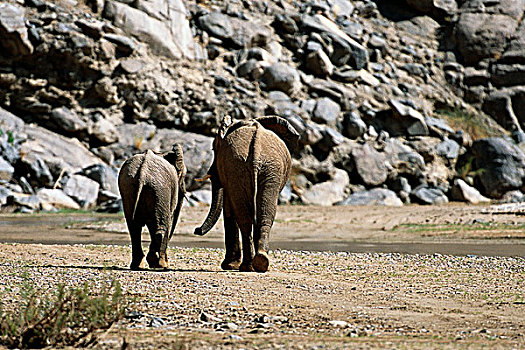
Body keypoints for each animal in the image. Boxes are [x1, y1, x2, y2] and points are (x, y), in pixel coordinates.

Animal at [193, 117, 298, 274]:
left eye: (213, 149)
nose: (196, 230)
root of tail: (256, 149)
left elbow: (229, 209)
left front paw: (229, 266)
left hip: (254, 168)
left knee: (249, 216)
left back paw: (250, 265)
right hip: (256, 168)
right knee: (263, 213)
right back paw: (259, 263)